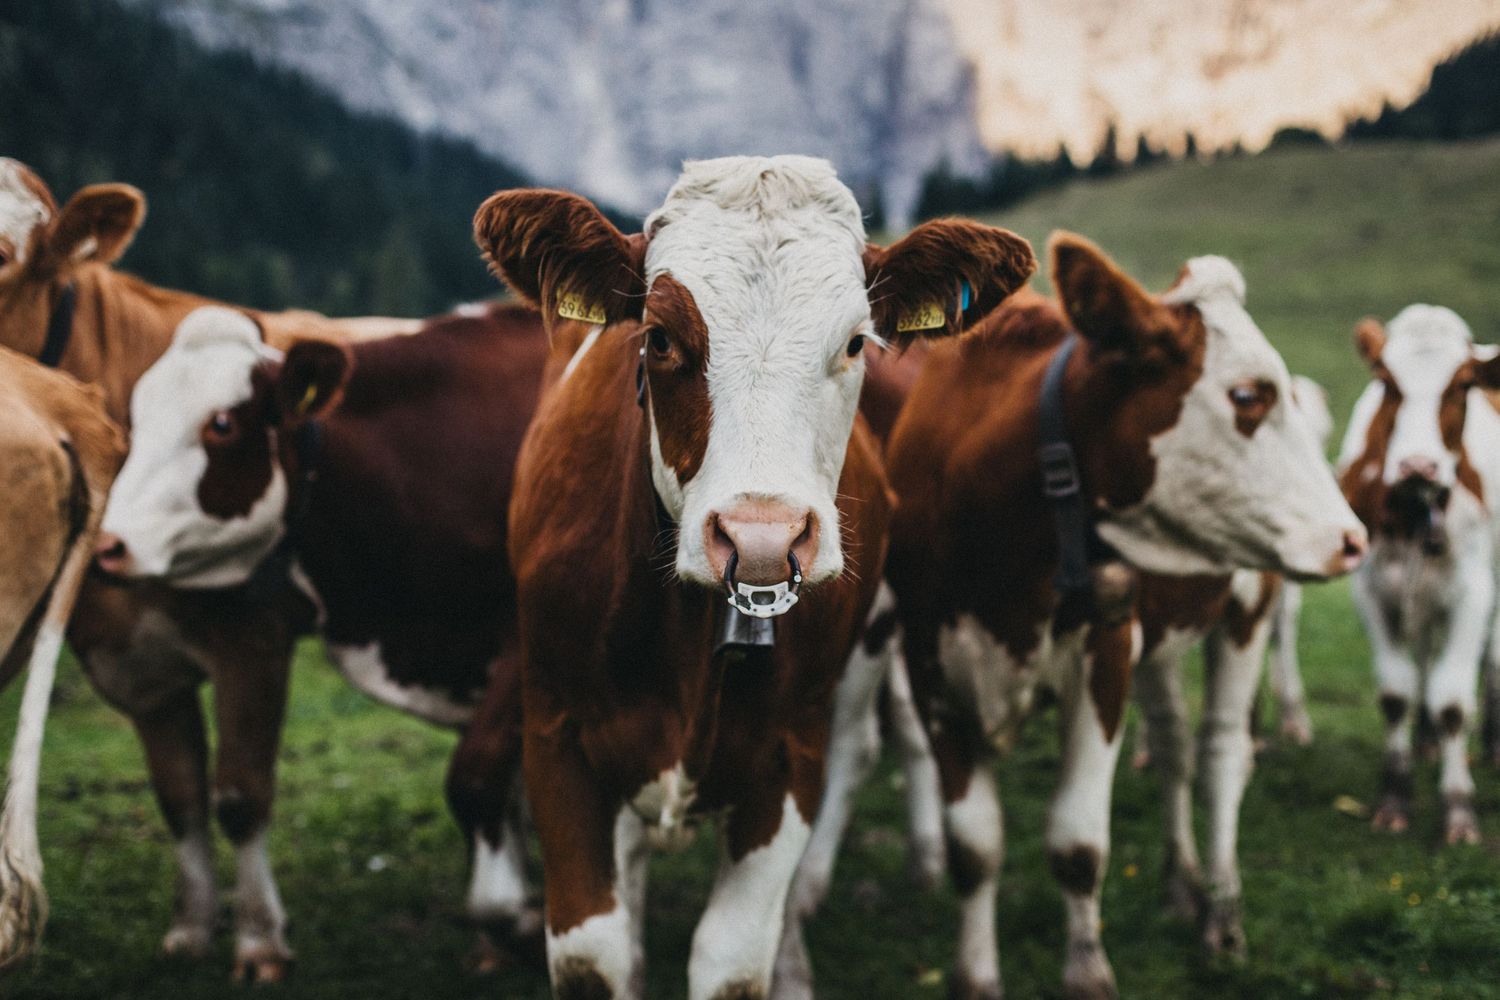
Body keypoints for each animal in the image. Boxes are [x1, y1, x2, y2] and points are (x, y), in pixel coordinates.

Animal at [0, 156, 415, 979]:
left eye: (1, 256)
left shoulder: (252, 641)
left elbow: (240, 795)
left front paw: (258, 940)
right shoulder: (135, 665)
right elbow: (180, 797)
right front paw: (192, 928)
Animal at [473, 155, 1036, 999]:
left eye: (856, 342)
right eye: (659, 338)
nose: (762, 538)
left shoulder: (786, 759)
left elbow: (735, 960)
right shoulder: (557, 739)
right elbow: (592, 959)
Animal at [853, 233, 1363, 999]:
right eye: (1248, 395)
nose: (1352, 537)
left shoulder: (1104, 652)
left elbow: (1077, 842)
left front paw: (1088, 971)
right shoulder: (929, 660)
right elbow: (974, 847)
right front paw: (975, 974)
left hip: (1247, 606)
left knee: (1220, 753)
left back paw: (1222, 917)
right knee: (1175, 744)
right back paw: (1182, 886)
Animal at [1338, 305, 1500, 844]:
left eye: (1463, 384)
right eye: (1388, 382)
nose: (1417, 464)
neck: (1414, 510)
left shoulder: (1473, 591)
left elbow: (1453, 700)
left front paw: (1458, 810)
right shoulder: (1371, 587)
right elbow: (1396, 693)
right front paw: (1394, 799)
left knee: (1491, 659)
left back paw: (1492, 745)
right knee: (1426, 652)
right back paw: (1427, 739)